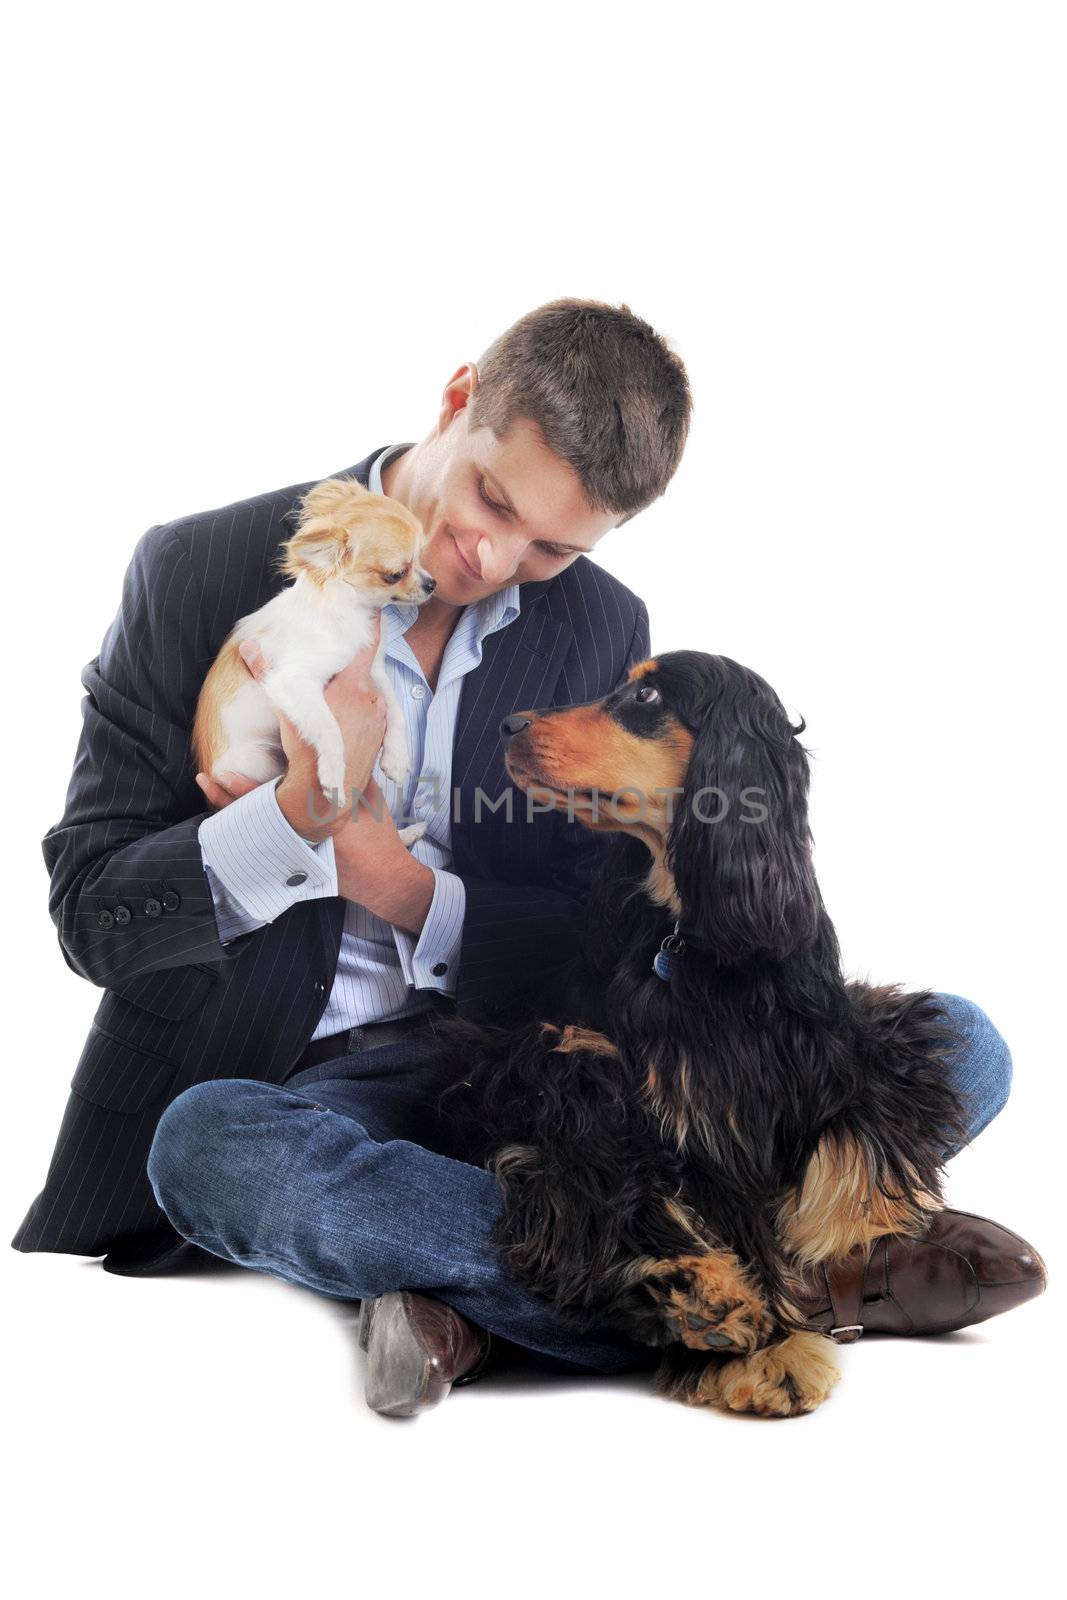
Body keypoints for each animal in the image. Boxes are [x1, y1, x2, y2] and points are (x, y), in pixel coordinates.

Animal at [194, 473, 435, 832]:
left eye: (422, 557)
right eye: (396, 574)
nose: (432, 583)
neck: (350, 613)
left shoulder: (373, 671)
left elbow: (395, 708)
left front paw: (396, 756)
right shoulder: (293, 682)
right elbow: (328, 726)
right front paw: (334, 773)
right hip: (253, 761)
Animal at [419, 656, 979, 1420]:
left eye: (647, 693)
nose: (509, 724)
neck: (694, 932)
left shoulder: (838, 1040)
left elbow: (856, 1120)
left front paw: (840, 1227)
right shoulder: (604, 1078)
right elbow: (645, 1177)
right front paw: (763, 1342)